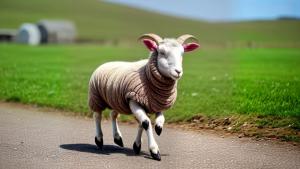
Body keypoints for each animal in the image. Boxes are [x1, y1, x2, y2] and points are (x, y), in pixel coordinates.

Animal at [88, 33, 199, 161]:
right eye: (161, 52)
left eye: (182, 53)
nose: (178, 72)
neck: (147, 75)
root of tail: (106, 63)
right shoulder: (133, 100)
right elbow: (145, 123)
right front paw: (154, 150)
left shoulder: (156, 103)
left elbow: (156, 121)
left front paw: (144, 140)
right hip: (96, 97)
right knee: (97, 116)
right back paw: (99, 140)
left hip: (117, 100)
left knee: (113, 115)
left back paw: (118, 138)